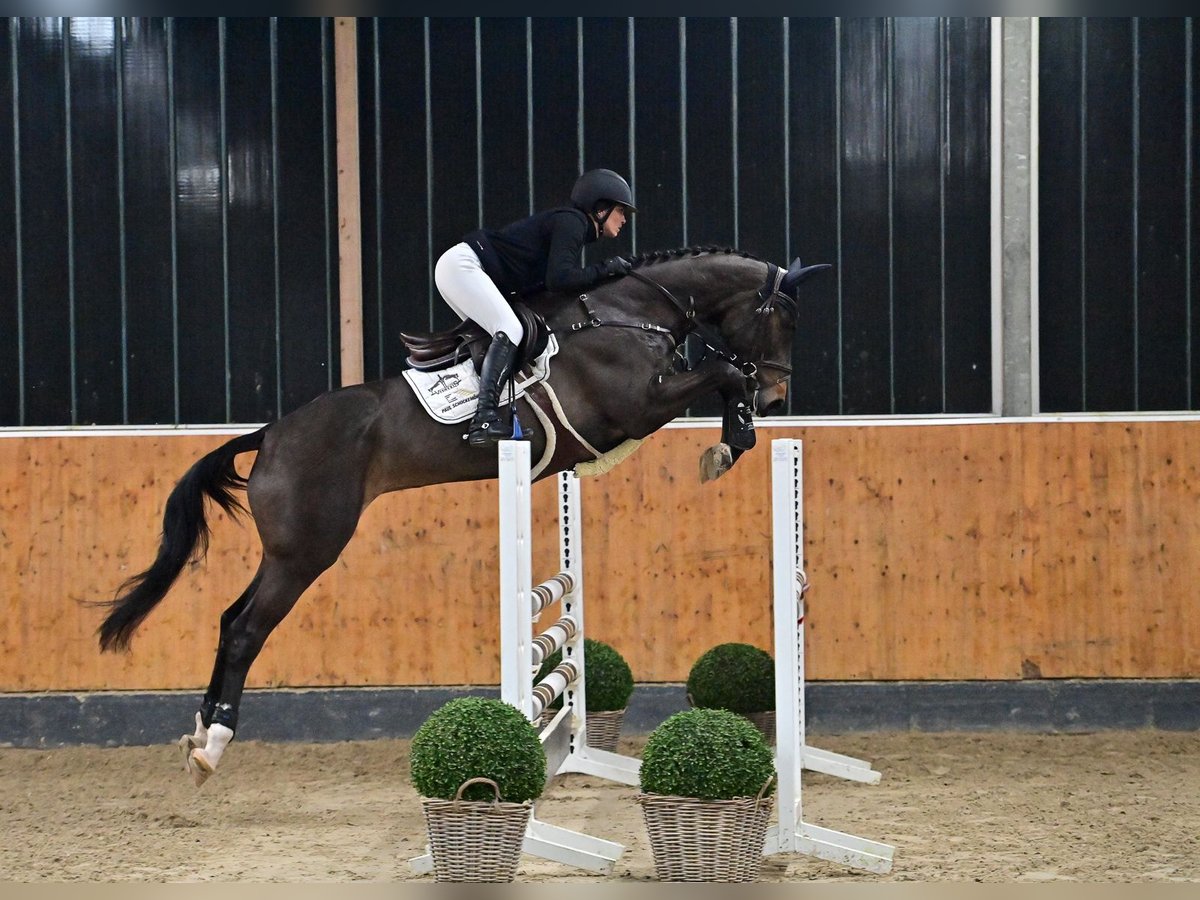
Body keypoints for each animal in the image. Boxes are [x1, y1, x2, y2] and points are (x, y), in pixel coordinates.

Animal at [93, 243, 830, 787]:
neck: (632, 312)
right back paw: (213, 745)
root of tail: (270, 434)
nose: (778, 394)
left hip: (288, 551)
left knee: (228, 620)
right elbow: (722, 376)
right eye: (785, 321)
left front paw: (734, 436)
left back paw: (199, 736)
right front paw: (730, 440)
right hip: (307, 550)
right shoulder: (637, 405)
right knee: (247, 629)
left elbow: (720, 377)